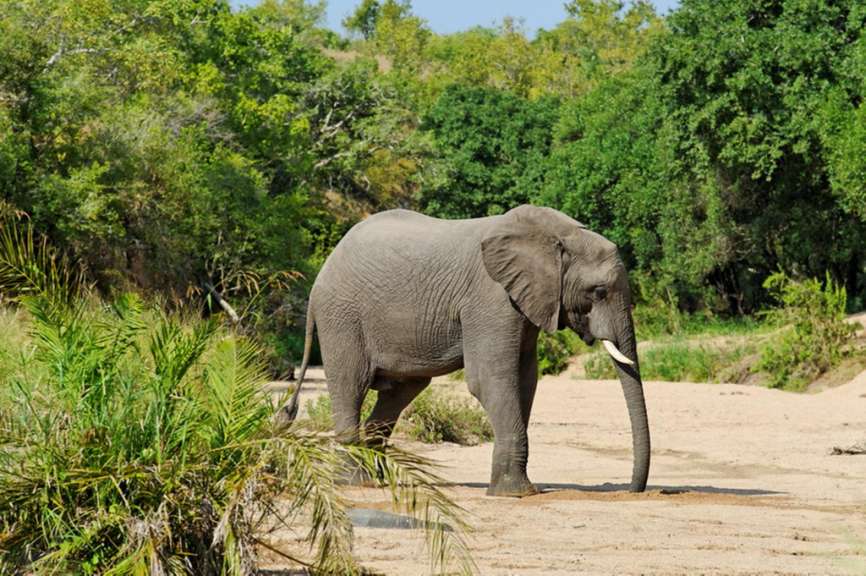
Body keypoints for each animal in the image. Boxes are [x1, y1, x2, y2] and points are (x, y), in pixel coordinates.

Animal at [276, 204, 650, 497]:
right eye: (599, 292)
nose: (631, 489)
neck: (561, 234)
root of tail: (319, 277)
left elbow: (524, 381)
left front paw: (511, 489)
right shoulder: (491, 298)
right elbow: (491, 380)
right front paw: (516, 494)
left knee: (401, 391)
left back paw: (376, 479)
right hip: (342, 318)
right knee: (351, 387)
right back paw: (354, 482)